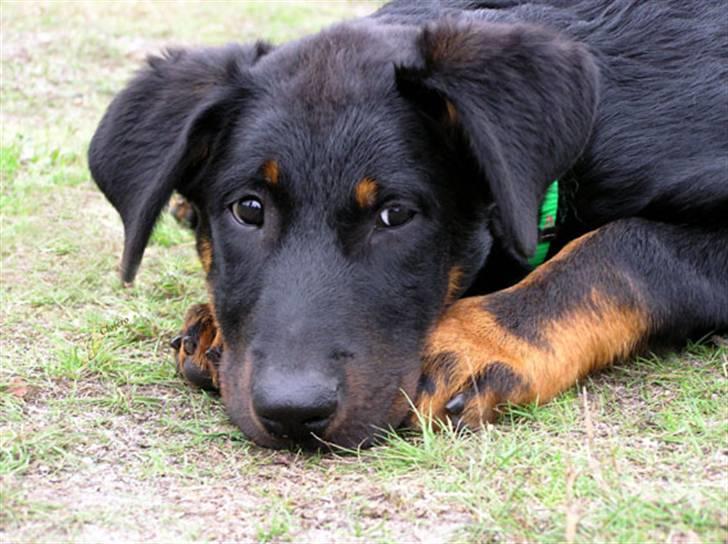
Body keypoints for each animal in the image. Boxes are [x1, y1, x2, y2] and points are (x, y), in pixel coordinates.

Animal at [86, 0, 728, 448]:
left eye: (395, 215)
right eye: (248, 209)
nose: (293, 413)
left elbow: (621, 246)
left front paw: (475, 341)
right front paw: (216, 324)